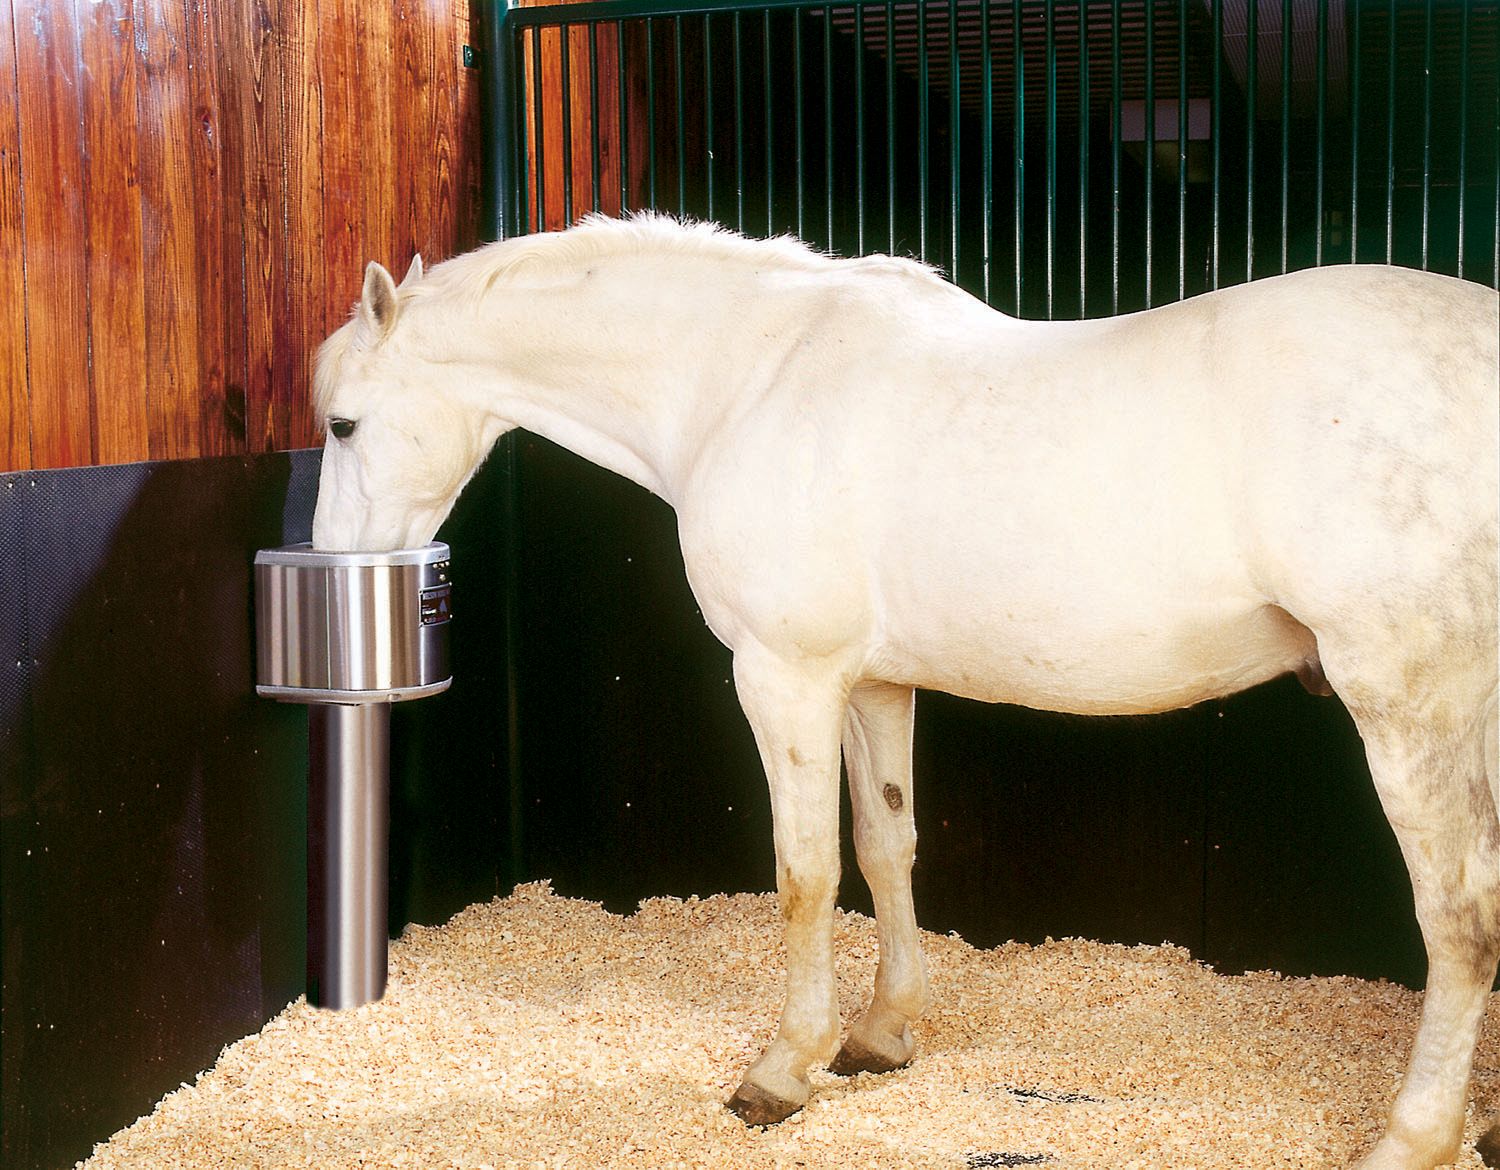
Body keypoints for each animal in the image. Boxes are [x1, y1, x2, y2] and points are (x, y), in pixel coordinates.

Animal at [309, 214, 1499, 1170]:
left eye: (341, 425)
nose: (336, 565)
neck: (747, 381)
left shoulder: (781, 675)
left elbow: (803, 873)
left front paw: (782, 1069)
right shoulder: (872, 684)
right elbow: (886, 848)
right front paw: (882, 1036)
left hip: (1411, 710)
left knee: (1459, 920)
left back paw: (1414, 1137)